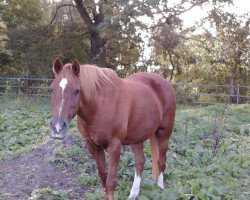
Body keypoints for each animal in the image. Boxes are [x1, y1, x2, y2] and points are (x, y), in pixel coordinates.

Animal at [49, 58, 176, 199]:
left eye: (77, 90)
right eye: (52, 89)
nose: (57, 127)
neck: (100, 106)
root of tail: (164, 82)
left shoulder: (114, 146)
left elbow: (110, 182)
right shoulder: (93, 146)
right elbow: (103, 178)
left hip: (164, 133)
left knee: (161, 162)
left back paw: (161, 190)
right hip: (136, 138)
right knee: (140, 162)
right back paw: (133, 194)